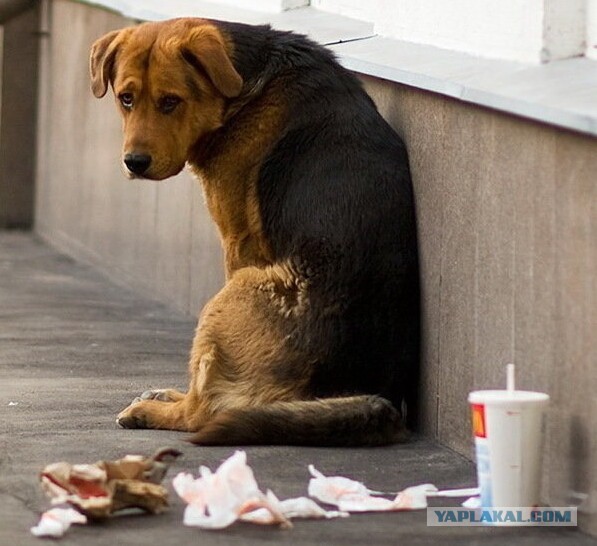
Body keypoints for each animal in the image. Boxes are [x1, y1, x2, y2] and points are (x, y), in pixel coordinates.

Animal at [91, 17, 422, 444]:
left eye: (170, 101)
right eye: (126, 99)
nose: (134, 162)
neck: (243, 86)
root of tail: (374, 397)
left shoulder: (237, 242)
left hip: (237, 288)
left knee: (202, 410)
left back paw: (154, 410)